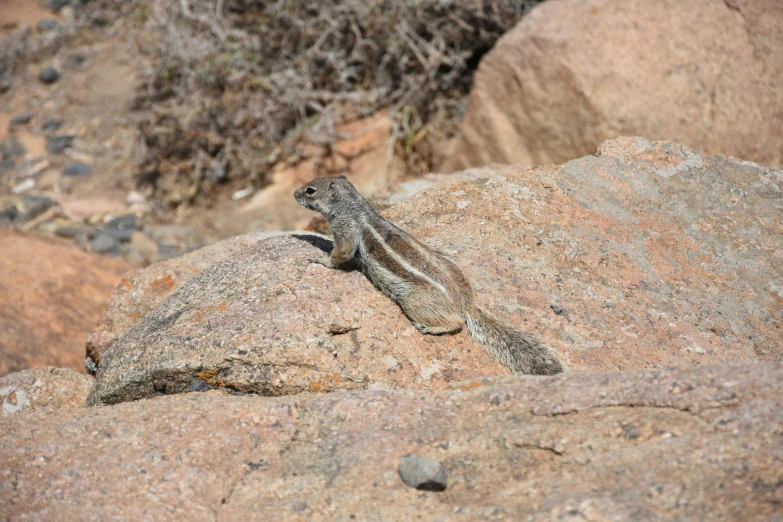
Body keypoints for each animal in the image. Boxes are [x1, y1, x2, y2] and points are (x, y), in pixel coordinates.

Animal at [294, 175, 564, 374]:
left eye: (310, 190)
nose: (295, 193)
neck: (353, 206)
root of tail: (466, 304)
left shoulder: (345, 231)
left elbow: (341, 253)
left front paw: (319, 260)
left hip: (415, 301)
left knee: (456, 324)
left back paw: (431, 328)